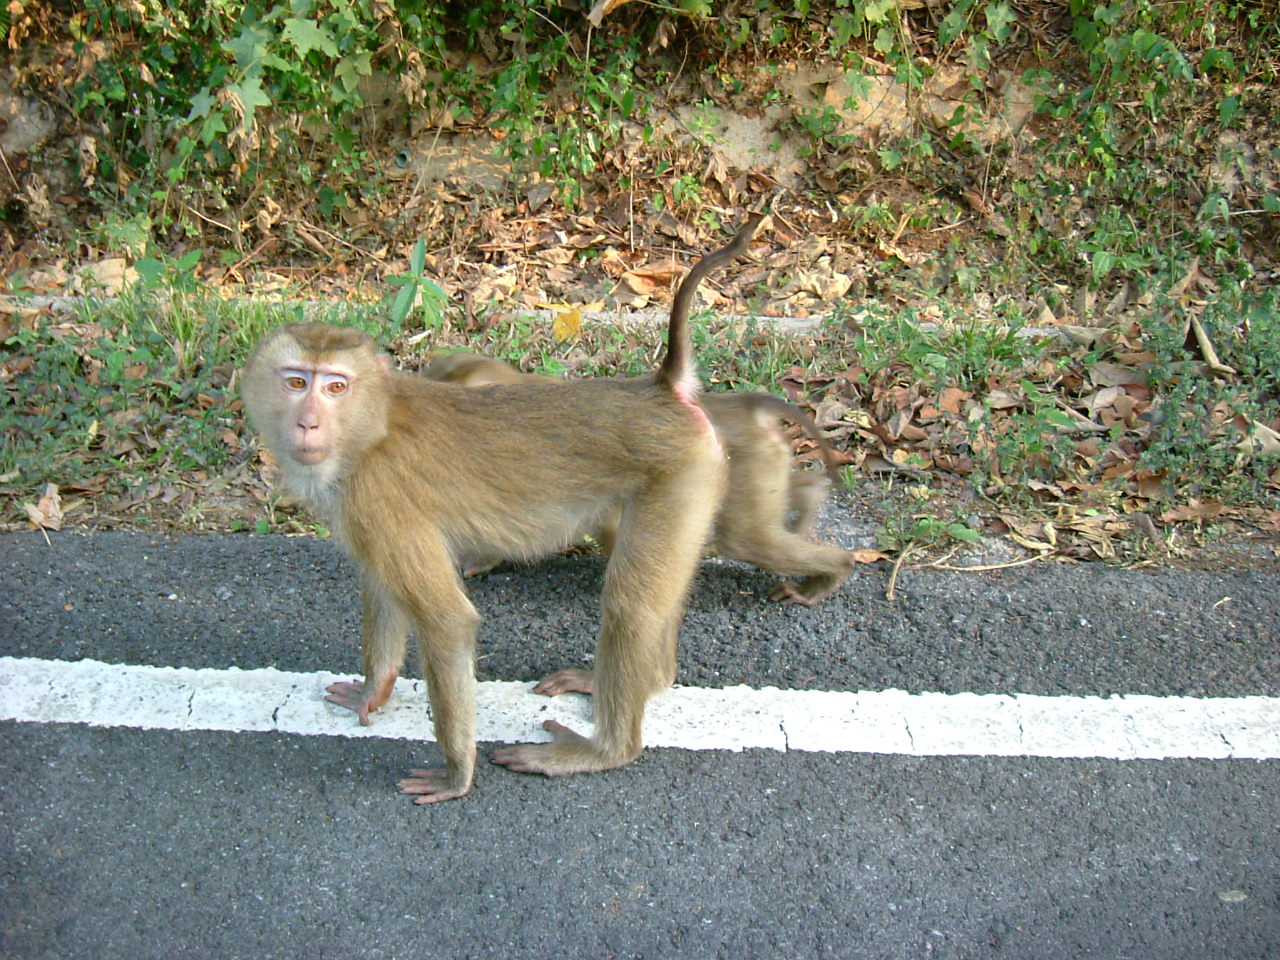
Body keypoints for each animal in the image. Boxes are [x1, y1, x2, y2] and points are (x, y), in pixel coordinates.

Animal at [240, 215, 761, 803]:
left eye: (334, 387)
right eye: (295, 381)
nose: (307, 423)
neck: (373, 427)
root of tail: (662, 391)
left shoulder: (378, 496)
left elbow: (447, 621)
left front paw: (456, 774)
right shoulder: (362, 510)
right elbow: (384, 589)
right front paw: (375, 691)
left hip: (680, 477)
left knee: (630, 606)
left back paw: (605, 749)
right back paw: (651, 680)